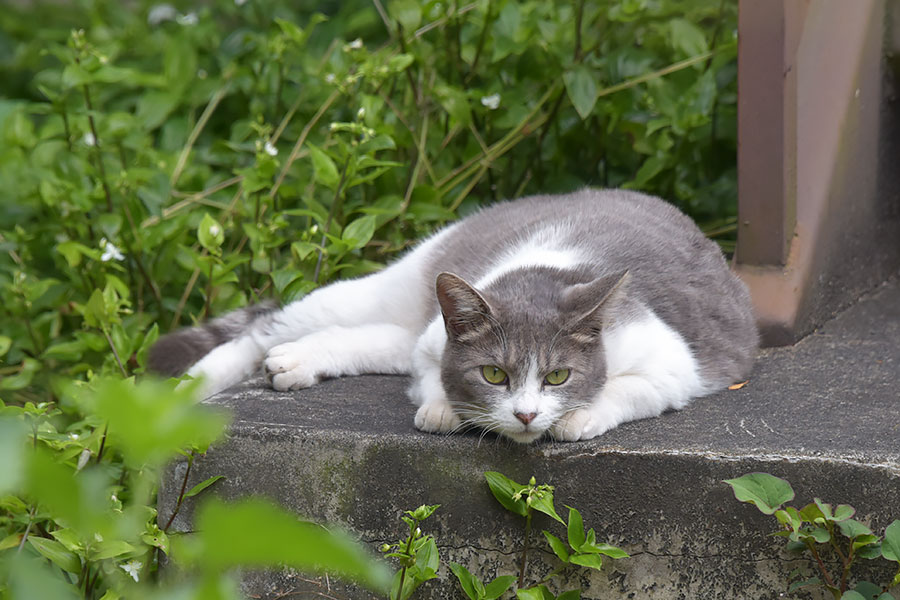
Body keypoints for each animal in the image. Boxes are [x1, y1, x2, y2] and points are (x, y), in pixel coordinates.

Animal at [151, 190, 756, 442]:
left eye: (558, 376)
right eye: (495, 374)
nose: (527, 415)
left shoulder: (676, 366)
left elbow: (625, 390)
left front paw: (576, 418)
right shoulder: (431, 348)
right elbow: (432, 381)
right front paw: (443, 411)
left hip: (402, 318)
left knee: (365, 338)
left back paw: (294, 363)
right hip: (379, 289)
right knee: (261, 330)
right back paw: (181, 394)